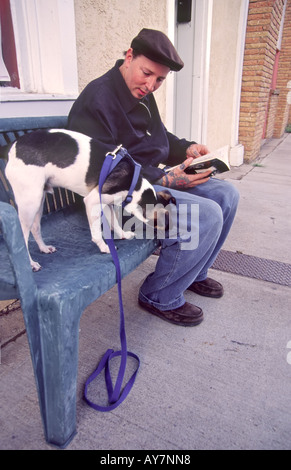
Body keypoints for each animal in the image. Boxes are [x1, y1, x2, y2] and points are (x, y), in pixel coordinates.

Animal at [6, 129, 176, 272]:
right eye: (164, 224)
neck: (134, 185)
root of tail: (12, 147)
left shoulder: (107, 203)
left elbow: (115, 223)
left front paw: (123, 235)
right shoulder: (92, 202)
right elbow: (96, 233)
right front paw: (105, 248)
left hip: (38, 200)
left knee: (35, 228)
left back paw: (44, 248)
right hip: (30, 202)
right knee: (23, 237)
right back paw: (30, 263)